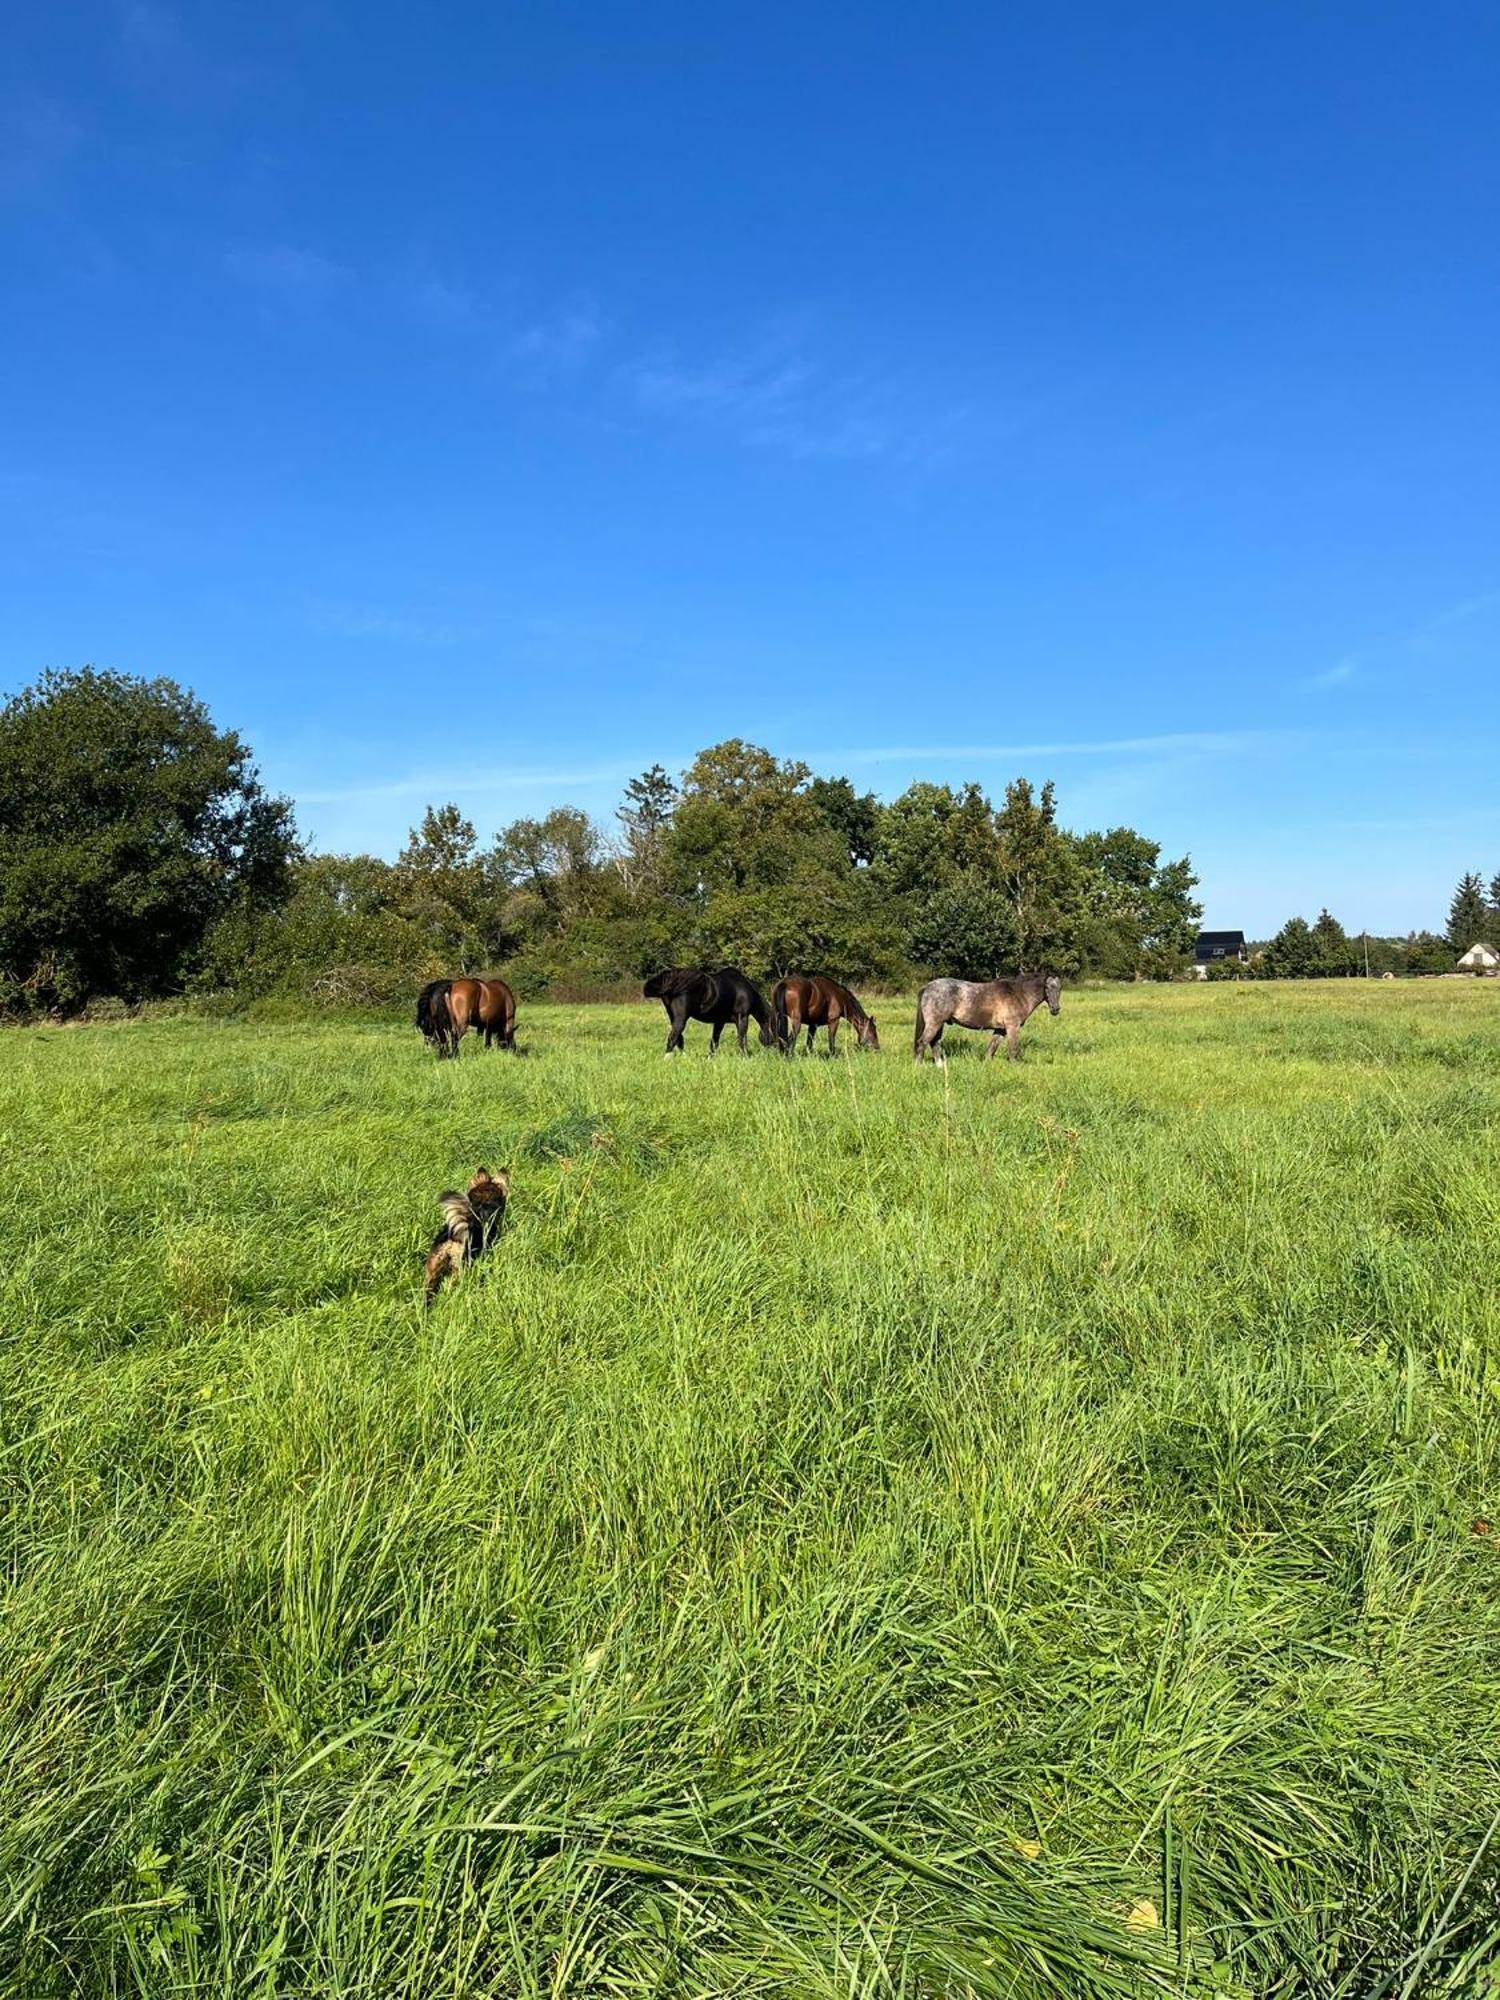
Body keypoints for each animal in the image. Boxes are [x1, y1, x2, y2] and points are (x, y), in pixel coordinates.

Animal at [644, 972, 776, 1064]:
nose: (773, 1053)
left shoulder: (719, 1022)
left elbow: (714, 1042)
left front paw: (710, 1058)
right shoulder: (742, 1017)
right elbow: (742, 1039)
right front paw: (745, 1057)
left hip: (673, 1017)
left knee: (678, 1038)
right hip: (681, 1019)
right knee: (673, 1038)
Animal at [912, 972, 1064, 1064]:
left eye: (1059, 988)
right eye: (1047, 987)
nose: (1055, 1009)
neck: (1017, 994)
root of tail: (928, 987)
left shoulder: (1001, 1030)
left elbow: (991, 1048)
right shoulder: (1012, 1027)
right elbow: (1013, 1049)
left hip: (939, 1024)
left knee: (934, 1043)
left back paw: (940, 1065)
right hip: (934, 1023)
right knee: (922, 1042)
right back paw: (919, 1066)